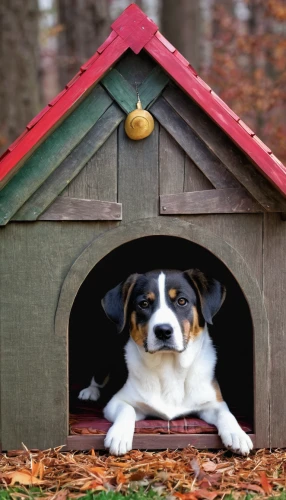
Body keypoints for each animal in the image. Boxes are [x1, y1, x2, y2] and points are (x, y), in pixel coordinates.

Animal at [79, 270, 252, 458]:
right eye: (144, 304)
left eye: (182, 301)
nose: (163, 331)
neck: (170, 366)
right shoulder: (117, 401)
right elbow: (127, 409)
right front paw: (119, 435)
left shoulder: (213, 402)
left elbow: (226, 413)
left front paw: (237, 434)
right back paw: (89, 392)